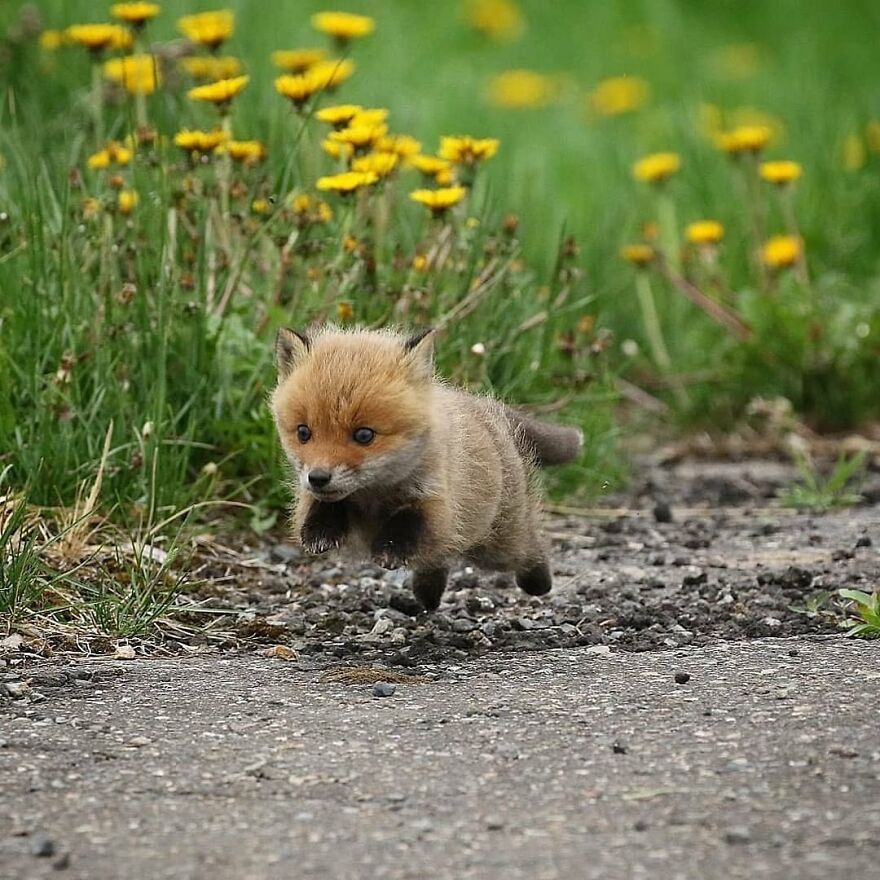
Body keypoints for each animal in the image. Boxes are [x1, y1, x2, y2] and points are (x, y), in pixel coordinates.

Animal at [270, 325, 583, 611]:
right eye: (303, 433)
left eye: (364, 435)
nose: (318, 477)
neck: (374, 496)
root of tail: (485, 408)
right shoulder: (315, 496)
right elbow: (323, 508)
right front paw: (319, 532)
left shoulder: (435, 503)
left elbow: (407, 525)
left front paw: (389, 550)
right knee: (436, 560)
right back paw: (428, 595)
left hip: (497, 545)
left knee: (527, 549)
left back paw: (539, 580)